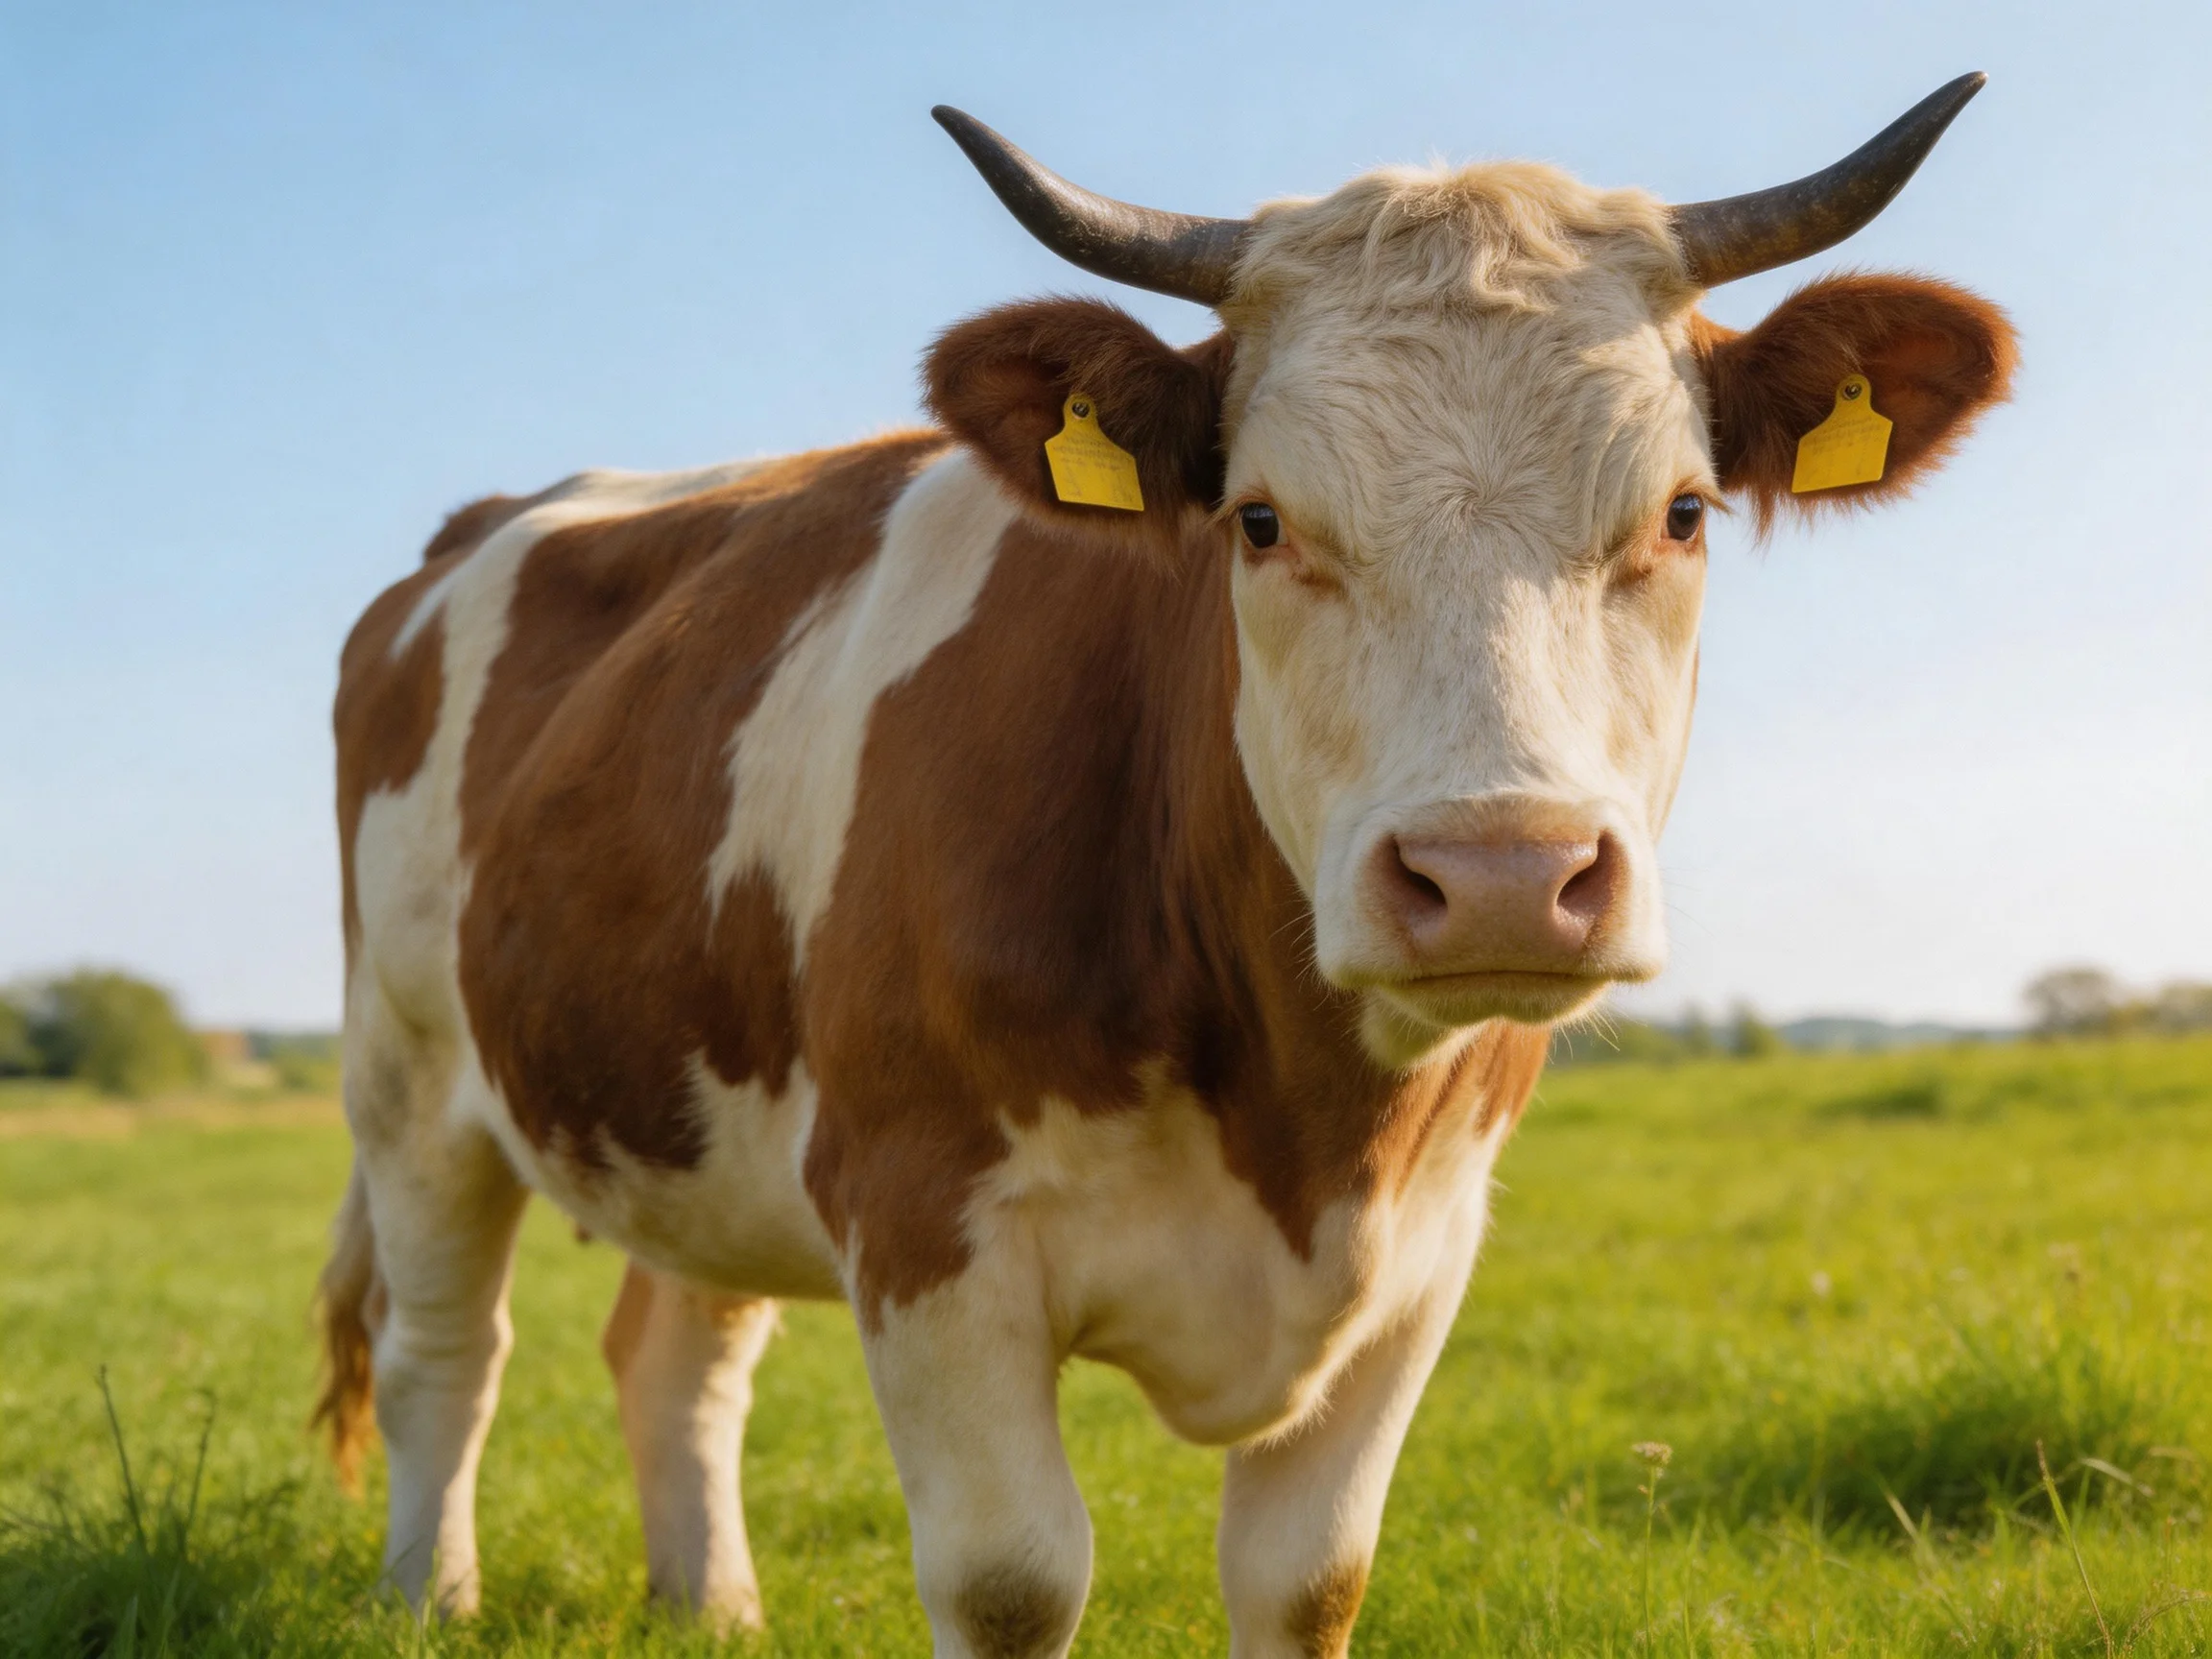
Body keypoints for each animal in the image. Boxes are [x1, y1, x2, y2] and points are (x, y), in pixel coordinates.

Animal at [317, 76, 2015, 1656]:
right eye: (1259, 521)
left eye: (1683, 512)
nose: (1499, 873)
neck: (1301, 1127)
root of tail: (482, 528)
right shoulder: (923, 1223)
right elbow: (1012, 1582)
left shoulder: (1427, 1255)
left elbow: (1307, 1579)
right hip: (410, 1084)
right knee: (442, 1357)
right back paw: (423, 1599)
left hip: (692, 1101)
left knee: (677, 1357)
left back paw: (714, 1610)